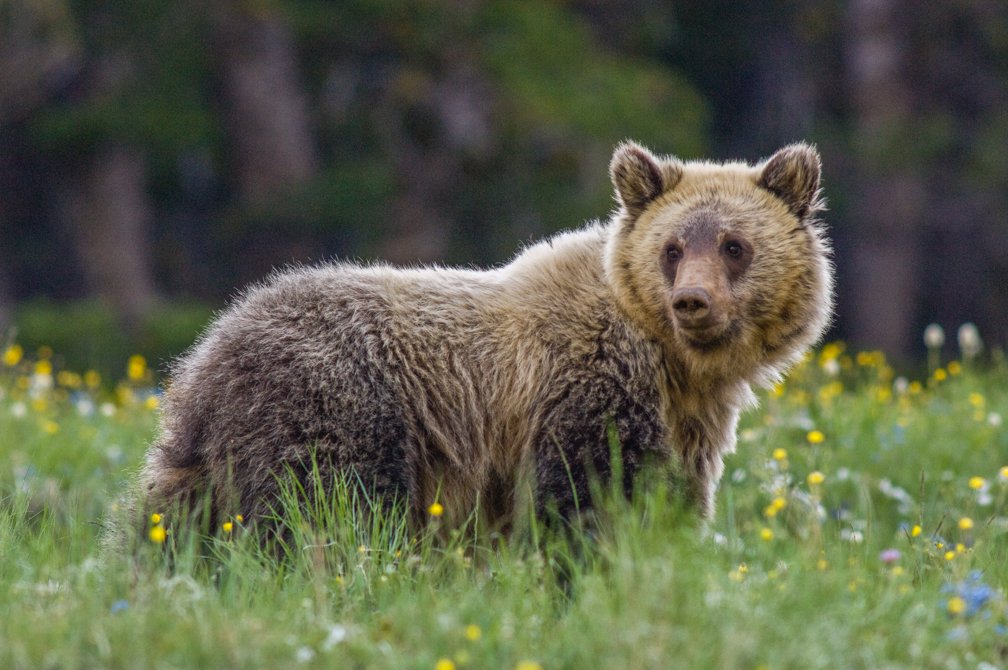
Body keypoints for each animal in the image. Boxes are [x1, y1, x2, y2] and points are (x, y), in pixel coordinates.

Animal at [128, 140, 833, 540]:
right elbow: (583, 499)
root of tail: (216, 344)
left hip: (205, 456)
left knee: (166, 530)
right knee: (324, 515)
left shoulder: (687, 425)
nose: (693, 301)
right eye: (674, 247)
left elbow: (673, 497)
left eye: (734, 245)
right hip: (340, 406)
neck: (674, 363)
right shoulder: (583, 391)